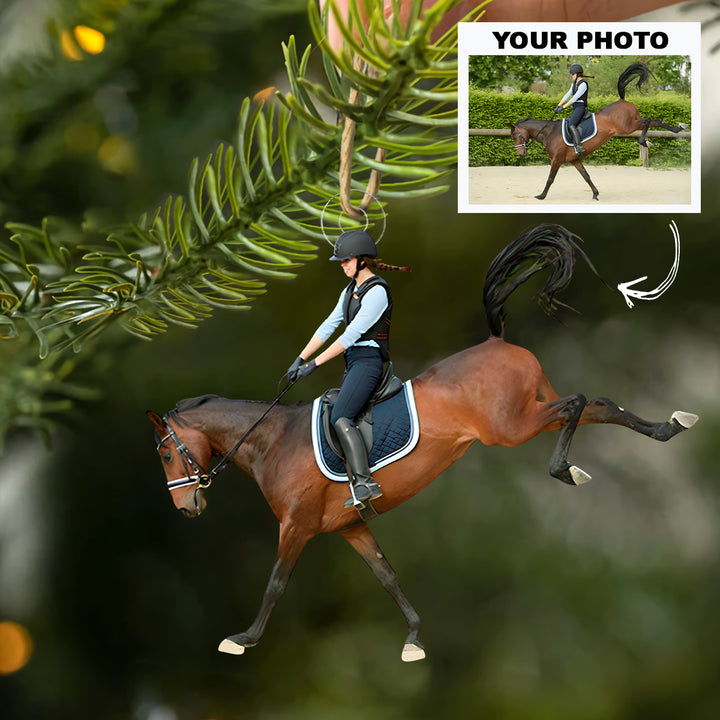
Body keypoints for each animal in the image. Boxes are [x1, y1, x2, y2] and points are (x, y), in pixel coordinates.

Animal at [146, 224, 698, 663]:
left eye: (167, 453)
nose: (186, 507)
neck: (273, 441)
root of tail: (496, 342)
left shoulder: (297, 526)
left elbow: (276, 583)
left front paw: (242, 639)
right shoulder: (349, 527)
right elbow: (388, 577)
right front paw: (413, 639)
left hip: (511, 427)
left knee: (577, 404)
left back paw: (565, 468)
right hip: (528, 412)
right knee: (597, 403)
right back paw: (669, 427)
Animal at [508, 63, 688, 201]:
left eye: (515, 136)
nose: (521, 154)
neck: (550, 133)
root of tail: (622, 100)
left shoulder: (557, 160)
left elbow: (550, 179)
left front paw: (541, 196)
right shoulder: (574, 159)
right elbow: (586, 176)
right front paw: (595, 194)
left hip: (627, 127)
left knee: (649, 120)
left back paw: (645, 141)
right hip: (632, 123)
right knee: (654, 120)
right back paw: (678, 128)